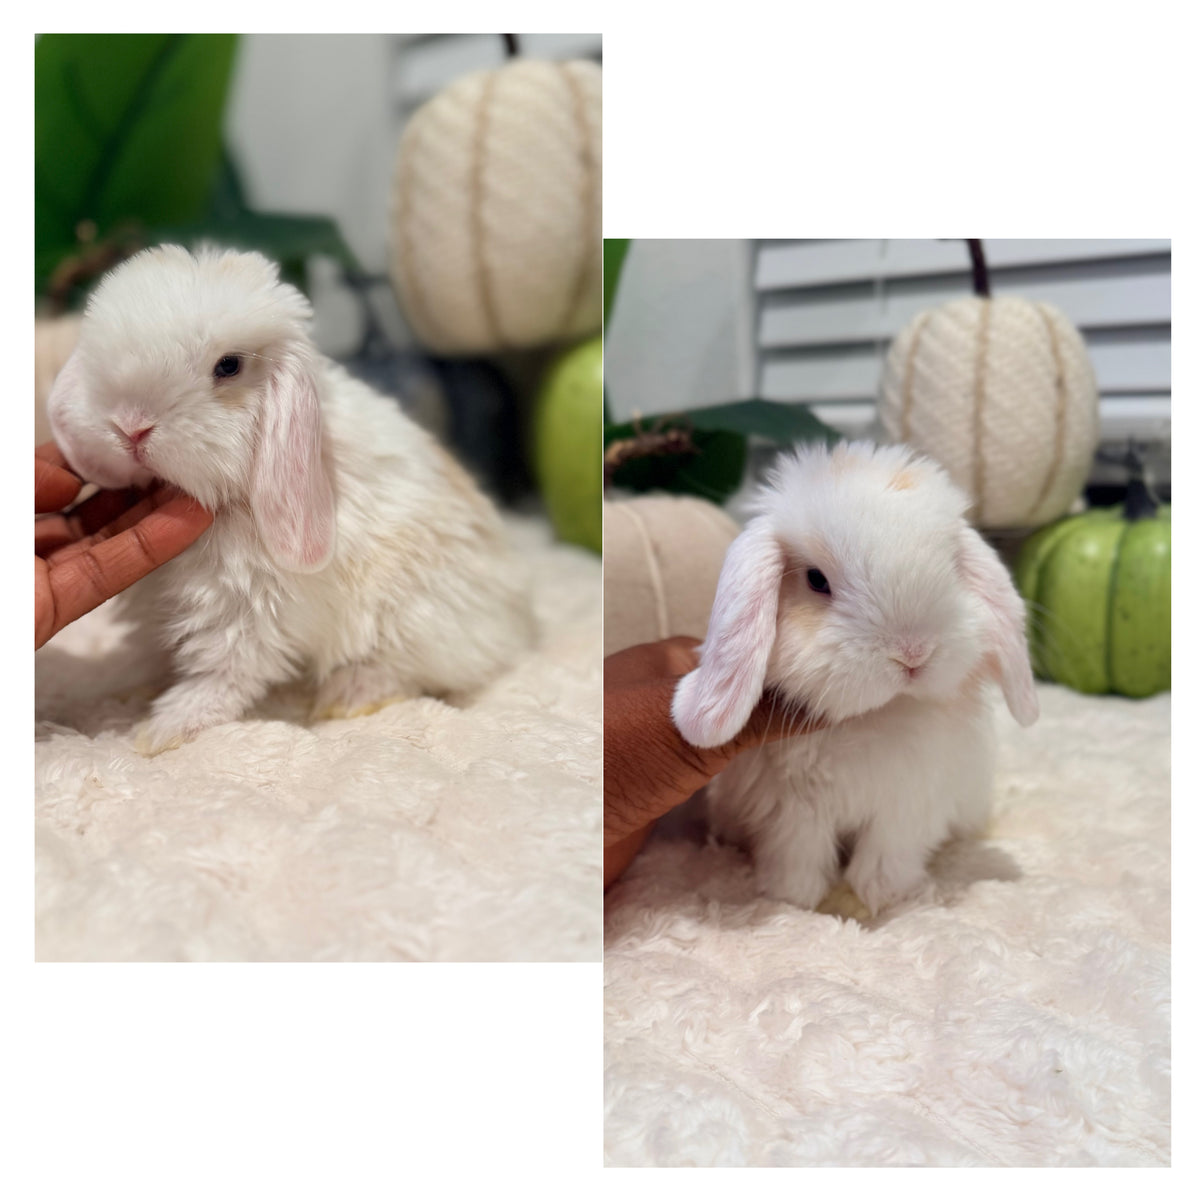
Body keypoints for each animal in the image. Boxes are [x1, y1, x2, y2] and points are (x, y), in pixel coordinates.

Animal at [47, 244, 535, 756]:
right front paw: (131, 689)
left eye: (229, 366)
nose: (130, 427)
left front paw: (162, 731)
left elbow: (226, 672)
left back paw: (347, 697)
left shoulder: (249, 605)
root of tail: (518, 612)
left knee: (405, 669)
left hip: (414, 618)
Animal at [672, 440, 1038, 916]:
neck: (874, 715)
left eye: (954, 566)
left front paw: (883, 897)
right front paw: (793, 900)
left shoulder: (909, 804)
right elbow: (797, 854)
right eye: (816, 580)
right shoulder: (793, 809)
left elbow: (888, 854)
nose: (913, 653)